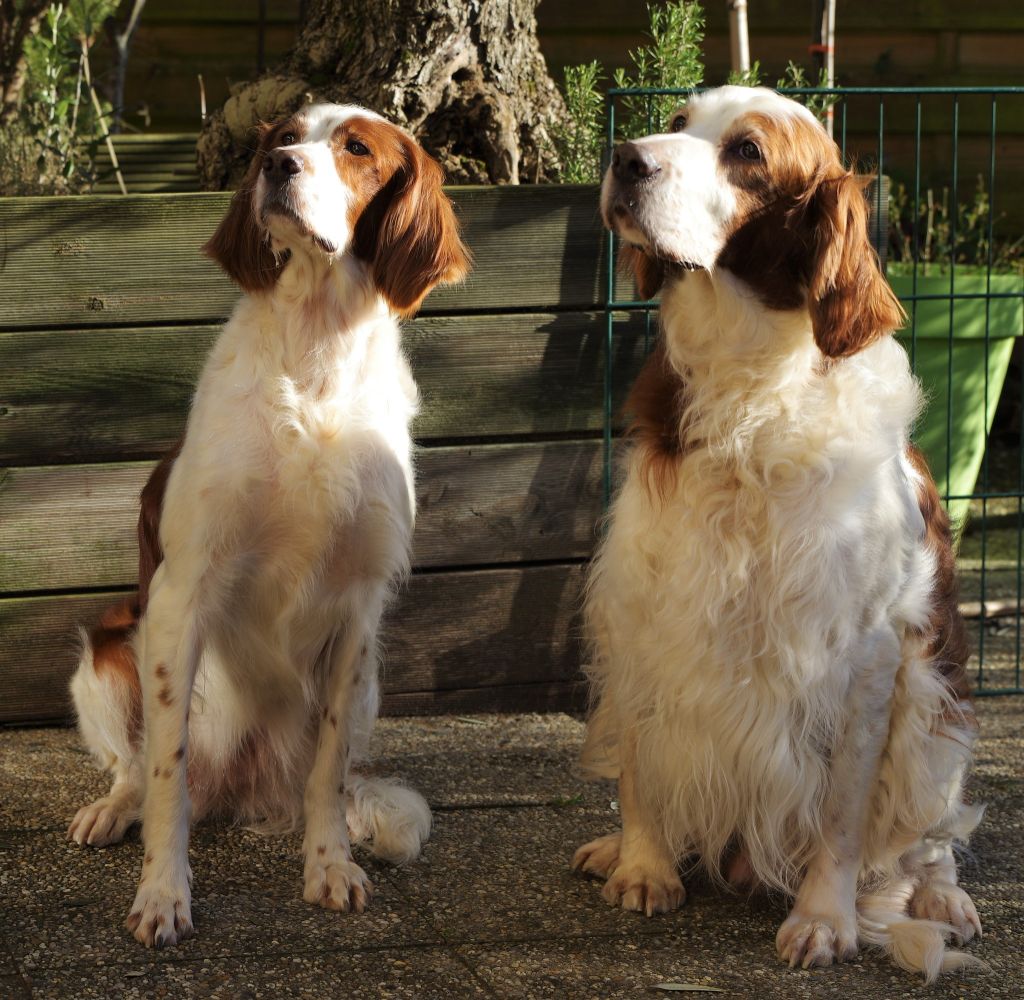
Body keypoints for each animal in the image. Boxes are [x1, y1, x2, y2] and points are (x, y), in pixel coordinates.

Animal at [70, 103, 468, 945]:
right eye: (283, 134)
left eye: (356, 148)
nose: (278, 166)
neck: (315, 349)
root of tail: (245, 788)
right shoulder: (182, 590)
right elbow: (166, 771)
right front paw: (163, 894)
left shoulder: (358, 609)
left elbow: (328, 773)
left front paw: (329, 866)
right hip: (109, 651)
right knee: (137, 767)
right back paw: (112, 810)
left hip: (371, 682)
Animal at [577, 85, 983, 974]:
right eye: (679, 121)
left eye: (748, 153)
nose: (626, 158)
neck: (746, 389)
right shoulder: (644, 604)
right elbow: (641, 762)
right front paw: (643, 865)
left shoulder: (864, 655)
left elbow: (842, 812)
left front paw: (824, 918)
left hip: (935, 711)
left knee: (932, 837)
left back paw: (943, 897)